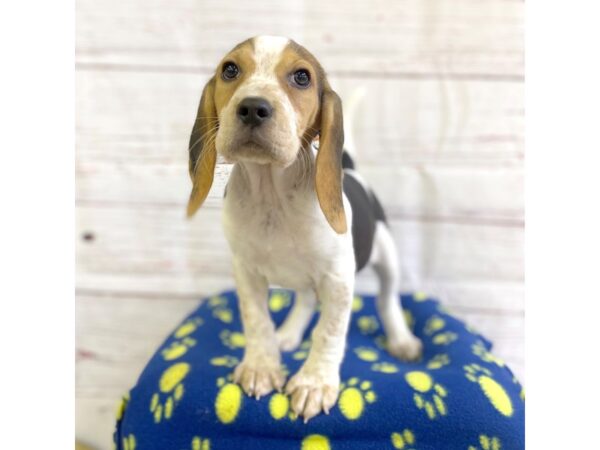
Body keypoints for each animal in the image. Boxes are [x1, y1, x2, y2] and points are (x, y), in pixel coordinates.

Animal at [188, 35, 422, 422]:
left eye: (301, 77)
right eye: (230, 70)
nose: (253, 107)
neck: (272, 197)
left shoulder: (339, 281)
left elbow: (328, 333)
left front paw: (314, 383)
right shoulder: (246, 272)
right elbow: (257, 321)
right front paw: (262, 366)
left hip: (386, 254)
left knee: (387, 299)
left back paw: (401, 339)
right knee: (305, 300)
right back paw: (288, 332)